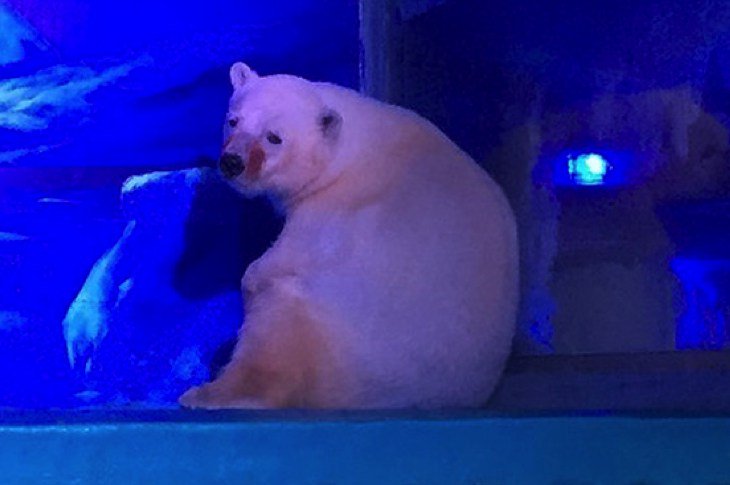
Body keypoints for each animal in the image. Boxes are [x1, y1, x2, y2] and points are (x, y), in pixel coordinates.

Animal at [178, 62, 519, 409]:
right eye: (233, 120)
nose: (232, 162)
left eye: (274, 138)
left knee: (276, 328)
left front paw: (250, 279)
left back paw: (209, 392)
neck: (355, 147)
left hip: (330, 332)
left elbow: (293, 254)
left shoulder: (337, 206)